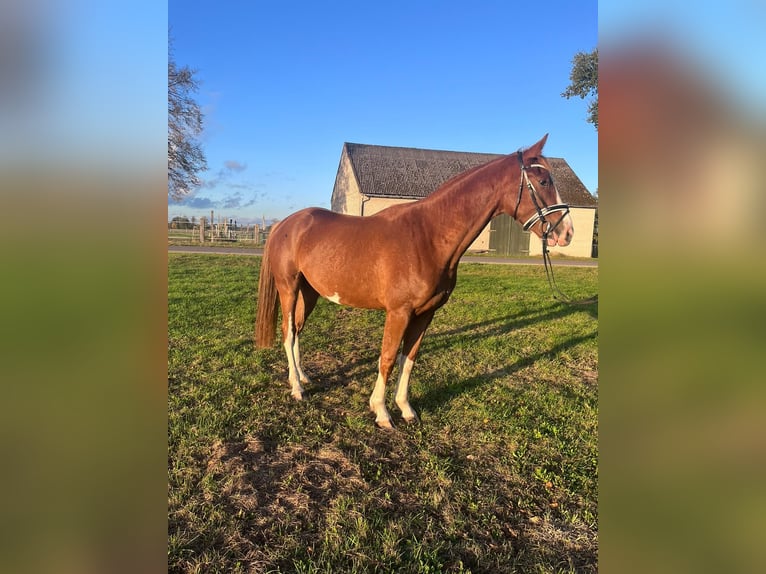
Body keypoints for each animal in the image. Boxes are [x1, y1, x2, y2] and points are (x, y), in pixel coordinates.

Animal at [255, 135, 572, 430]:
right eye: (543, 181)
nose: (566, 232)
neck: (427, 236)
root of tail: (284, 224)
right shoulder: (399, 312)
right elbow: (387, 357)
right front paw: (381, 412)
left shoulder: (425, 314)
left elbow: (408, 359)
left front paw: (406, 409)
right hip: (289, 288)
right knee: (288, 332)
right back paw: (297, 388)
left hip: (310, 292)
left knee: (297, 330)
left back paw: (302, 376)